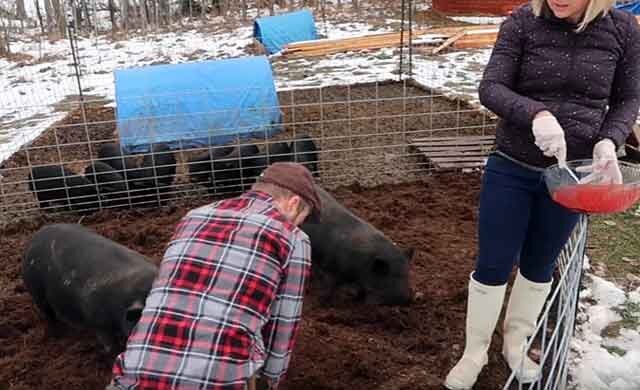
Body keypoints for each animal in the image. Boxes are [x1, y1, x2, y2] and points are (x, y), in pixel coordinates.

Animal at [22, 222, 159, 354]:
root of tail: (35, 237)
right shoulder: (97, 321)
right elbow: (110, 345)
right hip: (36, 290)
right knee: (48, 313)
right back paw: (55, 333)